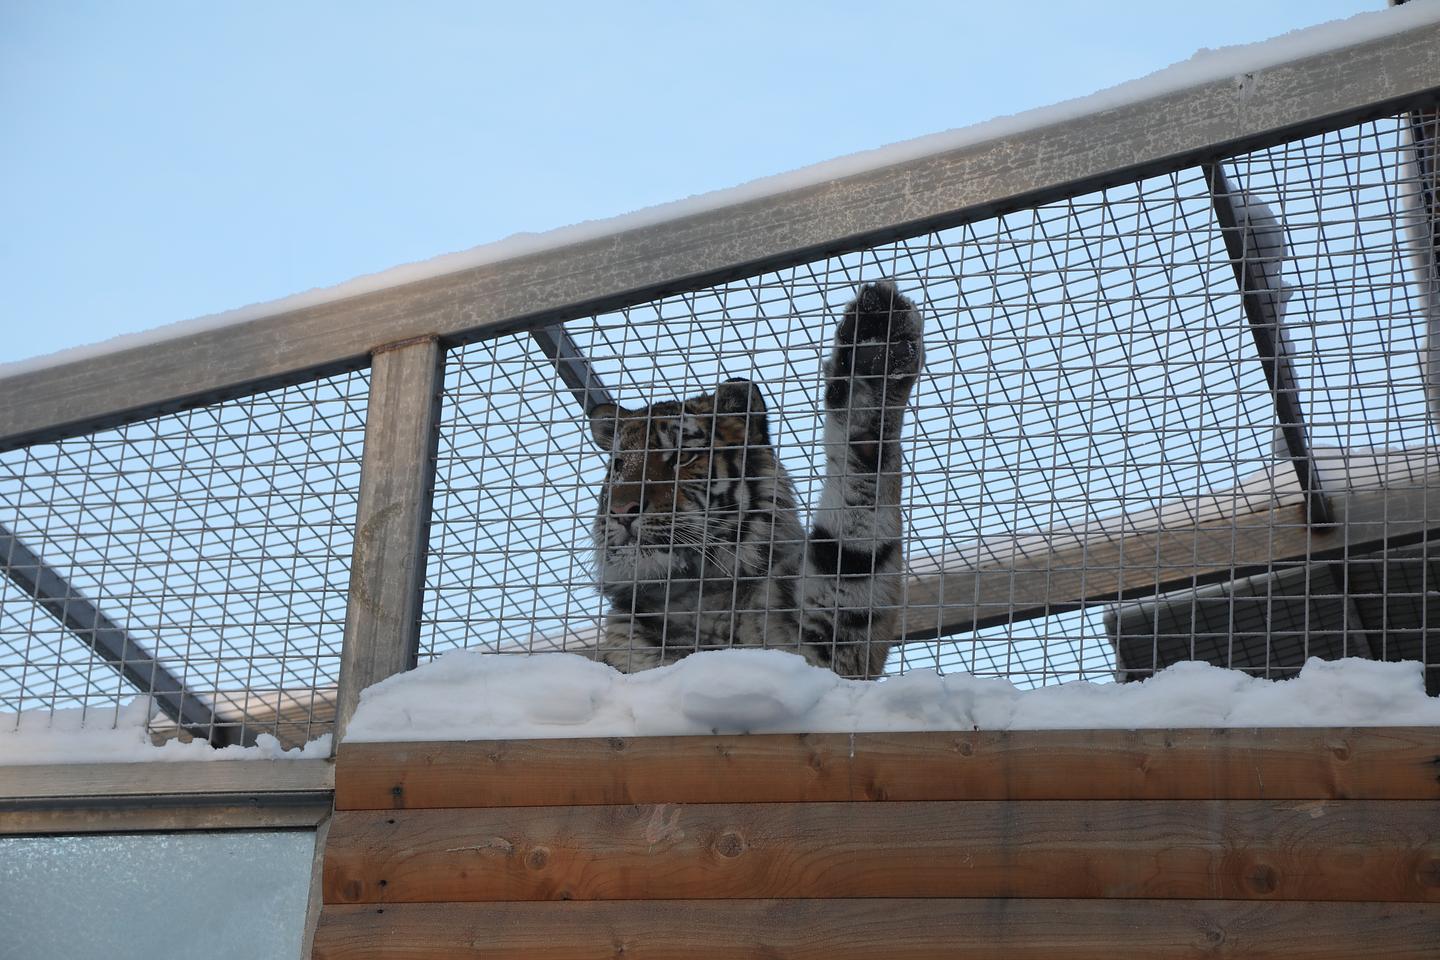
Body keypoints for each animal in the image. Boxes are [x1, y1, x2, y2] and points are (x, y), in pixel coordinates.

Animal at [581, 282, 921, 679]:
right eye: (620, 465)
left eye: (682, 457)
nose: (621, 510)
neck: (689, 597)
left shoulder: (829, 639)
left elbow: (857, 522)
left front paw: (876, 346)